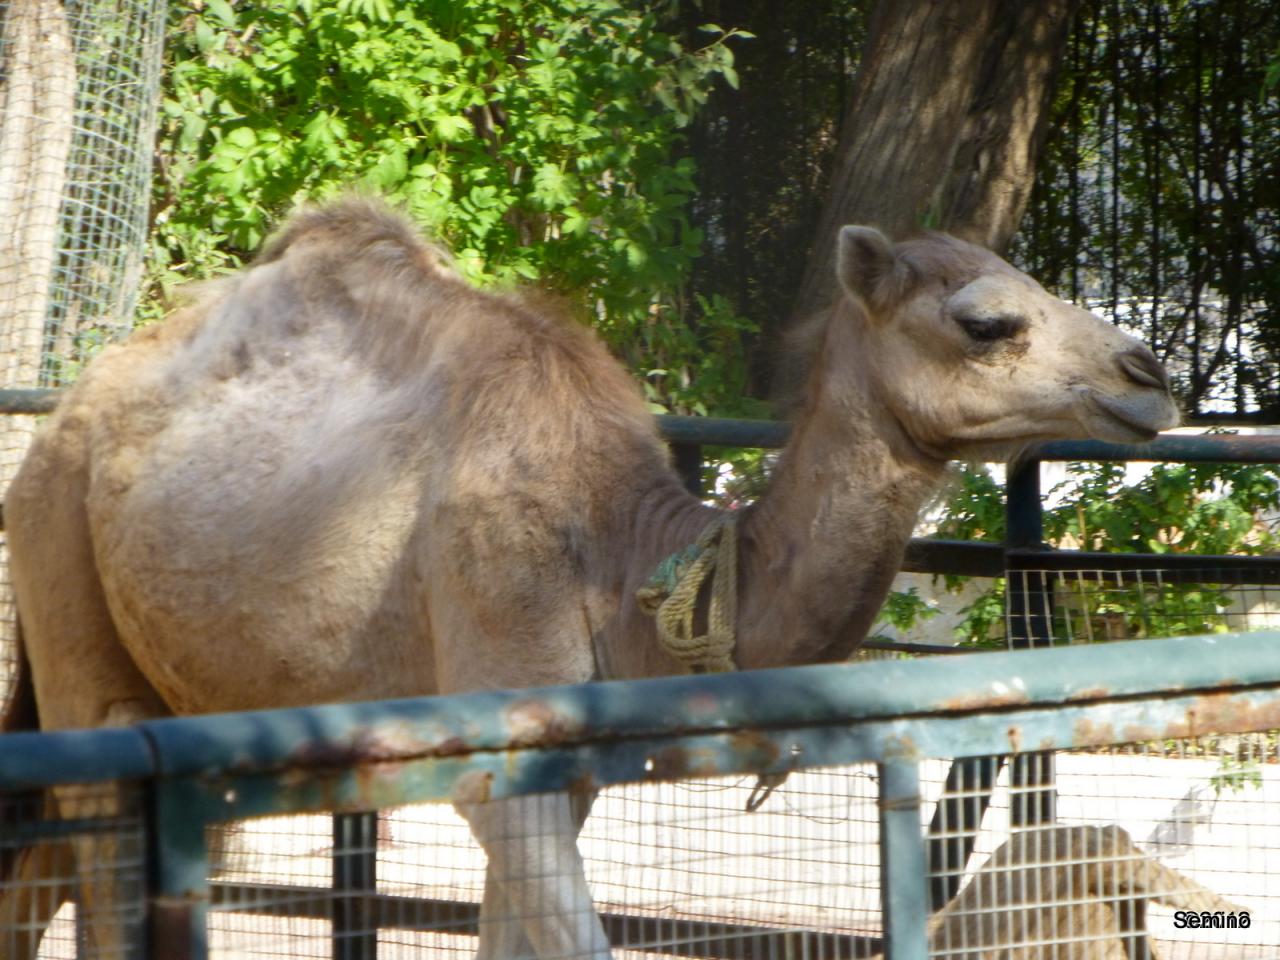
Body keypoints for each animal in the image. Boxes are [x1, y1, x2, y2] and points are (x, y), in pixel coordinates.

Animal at [2, 197, 1177, 960]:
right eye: (987, 322)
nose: (1149, 375)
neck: (625, 557)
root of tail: (67, 412)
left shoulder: (559, 766)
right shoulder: (496, 674)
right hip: (64, 579)